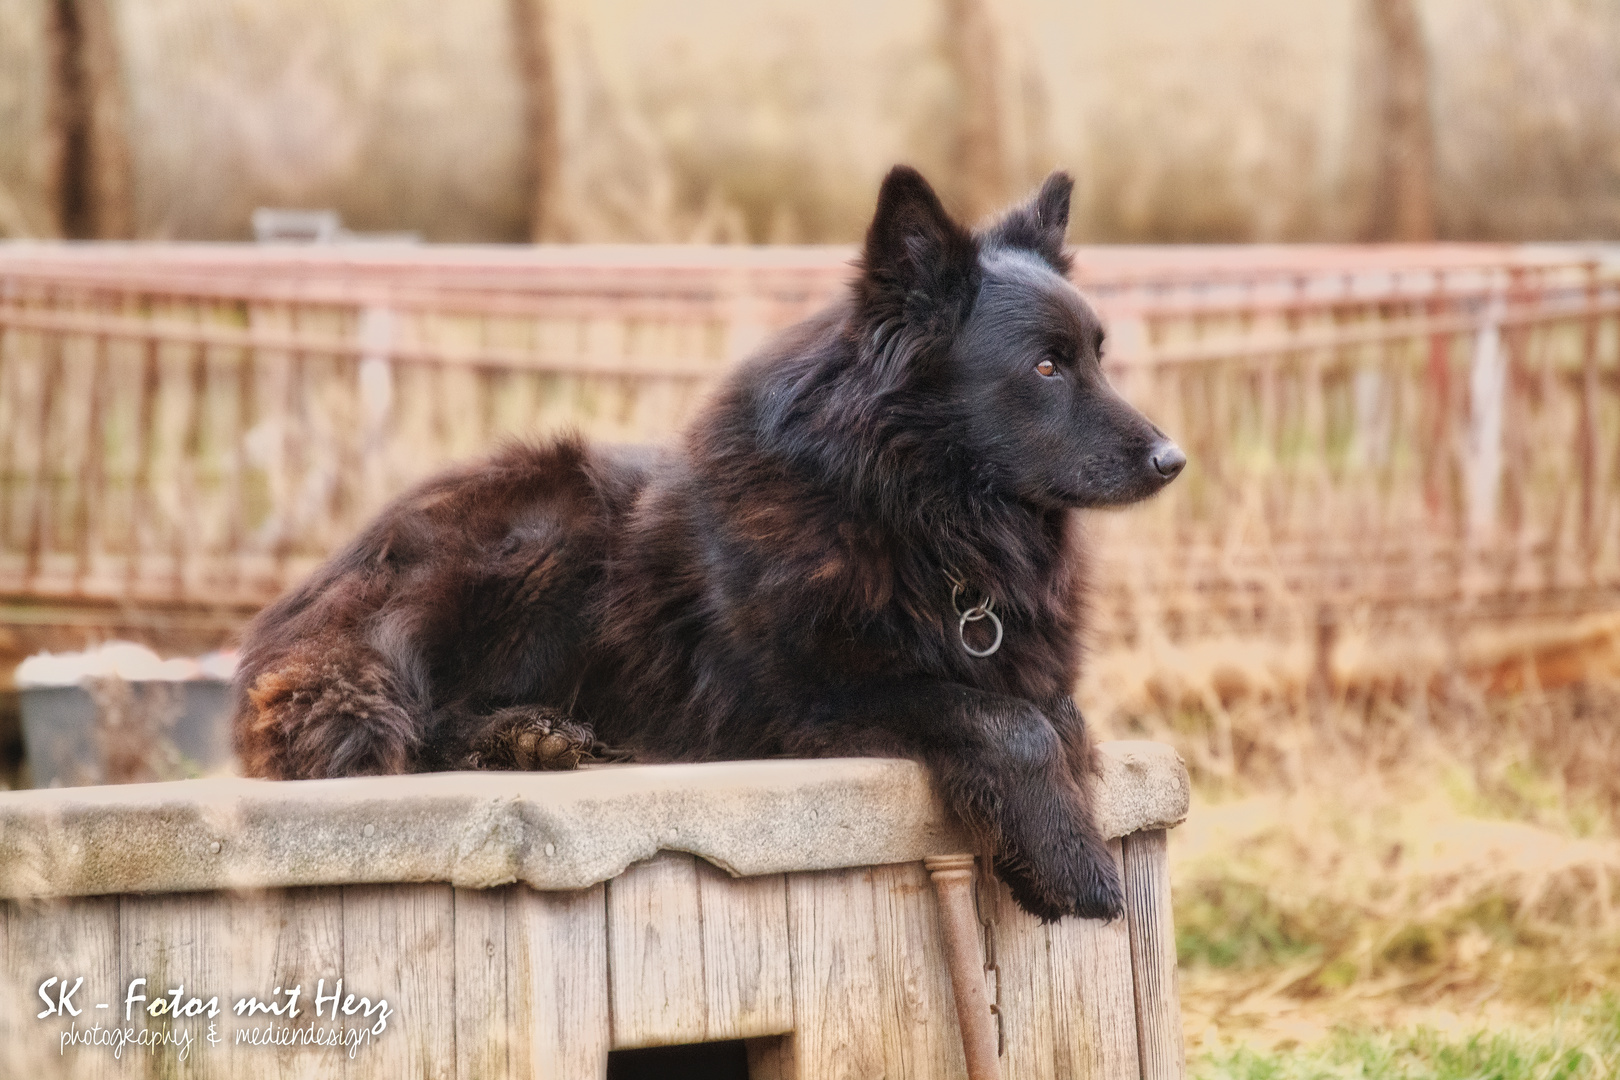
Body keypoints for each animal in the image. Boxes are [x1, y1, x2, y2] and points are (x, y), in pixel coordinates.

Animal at [234, 166, 1185, 919]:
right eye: (1046, 368)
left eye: (1097, 357)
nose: (1174, 460)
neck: (913, 517)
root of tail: (307, 603)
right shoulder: (796, 700)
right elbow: (998, 717)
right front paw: (1071, 865)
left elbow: (1053, 714)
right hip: (554, 517)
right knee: (417, 722)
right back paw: (519, 737)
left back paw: (535, 739)